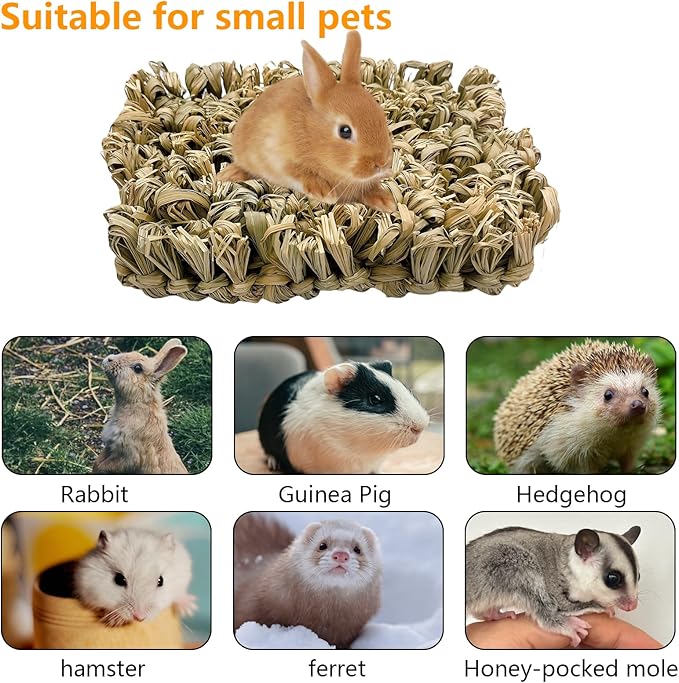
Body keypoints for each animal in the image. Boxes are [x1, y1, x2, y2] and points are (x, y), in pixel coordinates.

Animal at [93, 339, 189, 474]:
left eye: (138, 368)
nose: (109, 359)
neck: (136, 403)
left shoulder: (129, 456)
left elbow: (107, 465)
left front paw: (97, 469)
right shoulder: (110, 446)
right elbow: (99, 460)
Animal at [216, 31, 396, 212]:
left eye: (381, 116)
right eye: (345, 131)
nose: (381, 162)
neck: (311, 134)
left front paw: (386, 201)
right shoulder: (279, 157)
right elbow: (300, 174)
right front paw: (324, 192)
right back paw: (227, 175)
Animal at [466, 525, 641, 646]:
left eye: (638, 576)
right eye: (613, 578)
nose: (633, 606)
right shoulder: (556, 586)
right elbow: (566, 605)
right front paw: (602, 606)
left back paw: (494, 615)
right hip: (505, 562)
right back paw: (566, 624)